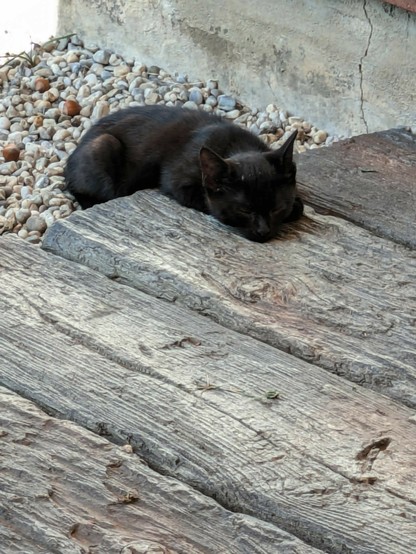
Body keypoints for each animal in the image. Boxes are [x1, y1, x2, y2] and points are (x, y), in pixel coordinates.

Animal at [65, 104, 302, 240]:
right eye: (244, 210)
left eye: (277, 208)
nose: (263, 231)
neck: (235, 145)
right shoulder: (177, 180)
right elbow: (207, 201)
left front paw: (296, 205)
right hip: (104, 144)